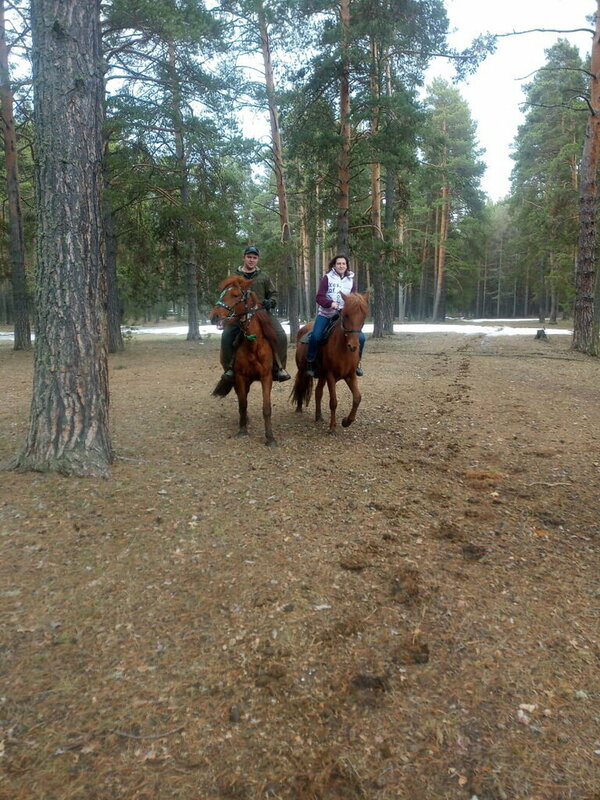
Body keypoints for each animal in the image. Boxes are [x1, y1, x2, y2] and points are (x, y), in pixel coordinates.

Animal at [211, 276, 282, 446]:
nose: (214, 316)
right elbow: (242, 403)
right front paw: (242, 430)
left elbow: (266, 407)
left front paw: (270, 437)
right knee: (241, 397)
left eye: (235, 295)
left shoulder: (266, 377)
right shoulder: (240, 376)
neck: (253, 344)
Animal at [292, 292, 370, 432]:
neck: (343, 349)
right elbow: (333, 402)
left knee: (318, 392)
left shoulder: (350, 375)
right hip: (302, 370)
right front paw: (332, 427)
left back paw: (318, 416)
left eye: (364, 316)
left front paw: (346, 421)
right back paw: (299, 408)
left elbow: (357, 398)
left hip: (322, 376)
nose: (353, 346)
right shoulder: (330, 376)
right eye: (346, 315)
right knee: (300, 385)